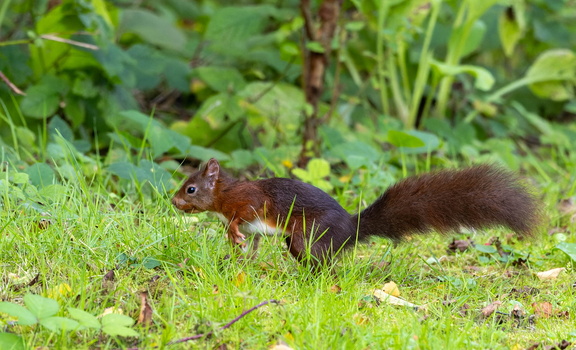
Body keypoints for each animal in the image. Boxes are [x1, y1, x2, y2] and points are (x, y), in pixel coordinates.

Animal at [171, 159, 540, 268]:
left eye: (190, 189)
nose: (173, 202)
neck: (223, 195)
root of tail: (351, 229)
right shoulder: (257, 229)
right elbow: (254, 245)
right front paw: (241, 257)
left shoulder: (247, 200)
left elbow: (241, 215)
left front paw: (231, 233)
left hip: (309, 235)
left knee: (323, 263)